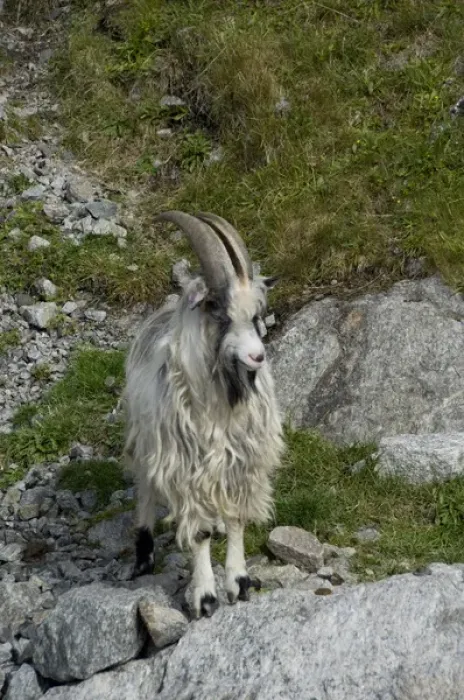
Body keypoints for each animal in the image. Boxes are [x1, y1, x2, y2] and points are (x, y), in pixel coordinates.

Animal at [123, 211, 284, 618]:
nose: (258, 356)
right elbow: (199, 532)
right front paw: (205, 597)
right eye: (221, 314)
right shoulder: (186, 468)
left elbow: (237, 518)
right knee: (146, 488)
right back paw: (143, 556)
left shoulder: (241, 463)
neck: (222, 405)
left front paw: (239, 582)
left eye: (257, 315)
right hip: (145, 440)